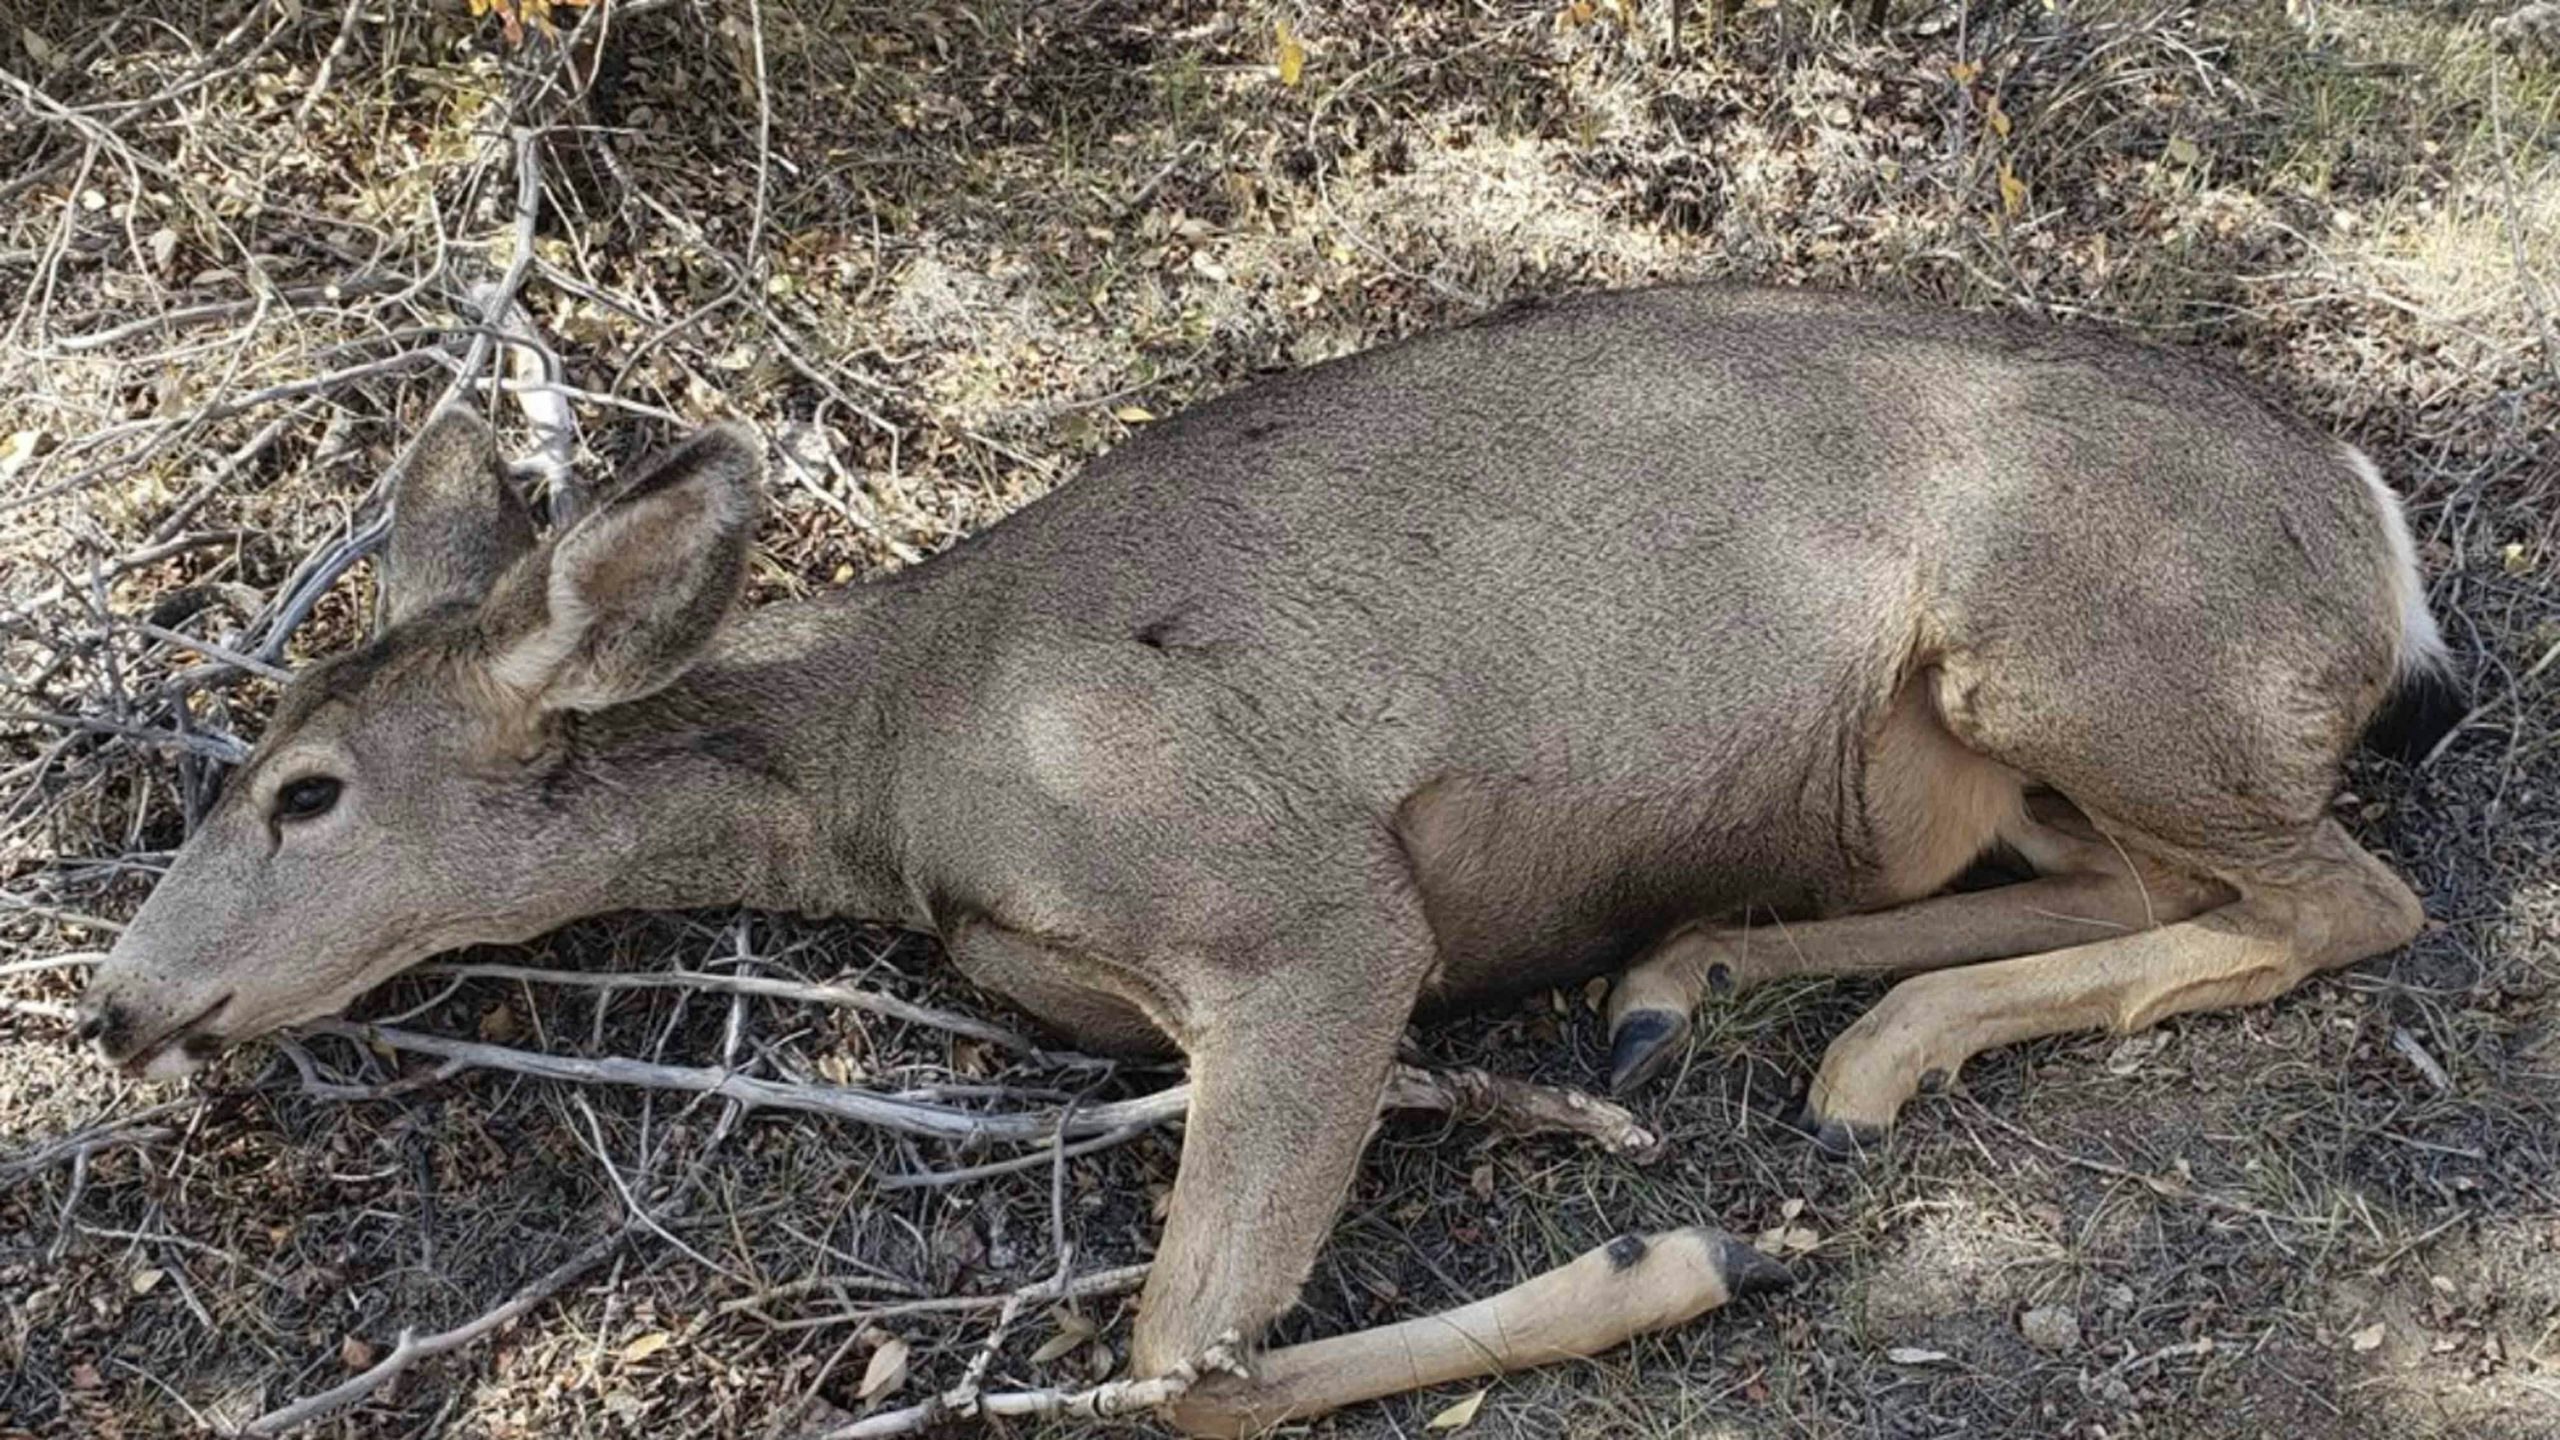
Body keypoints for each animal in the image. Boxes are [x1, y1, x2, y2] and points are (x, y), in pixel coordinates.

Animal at [73, 283, 2458, 1433]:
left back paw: (1837, 1062)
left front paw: (1680, 1255)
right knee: (2179, 886)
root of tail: (2372, 525)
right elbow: (1183, 1352)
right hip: (2008, 741)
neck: (901, 764)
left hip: (2076, 640)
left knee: (2351, 896)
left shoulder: (1301, 914)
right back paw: (1712, 989)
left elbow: (1173, 1370)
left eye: (305, 793)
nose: (116, 1004)